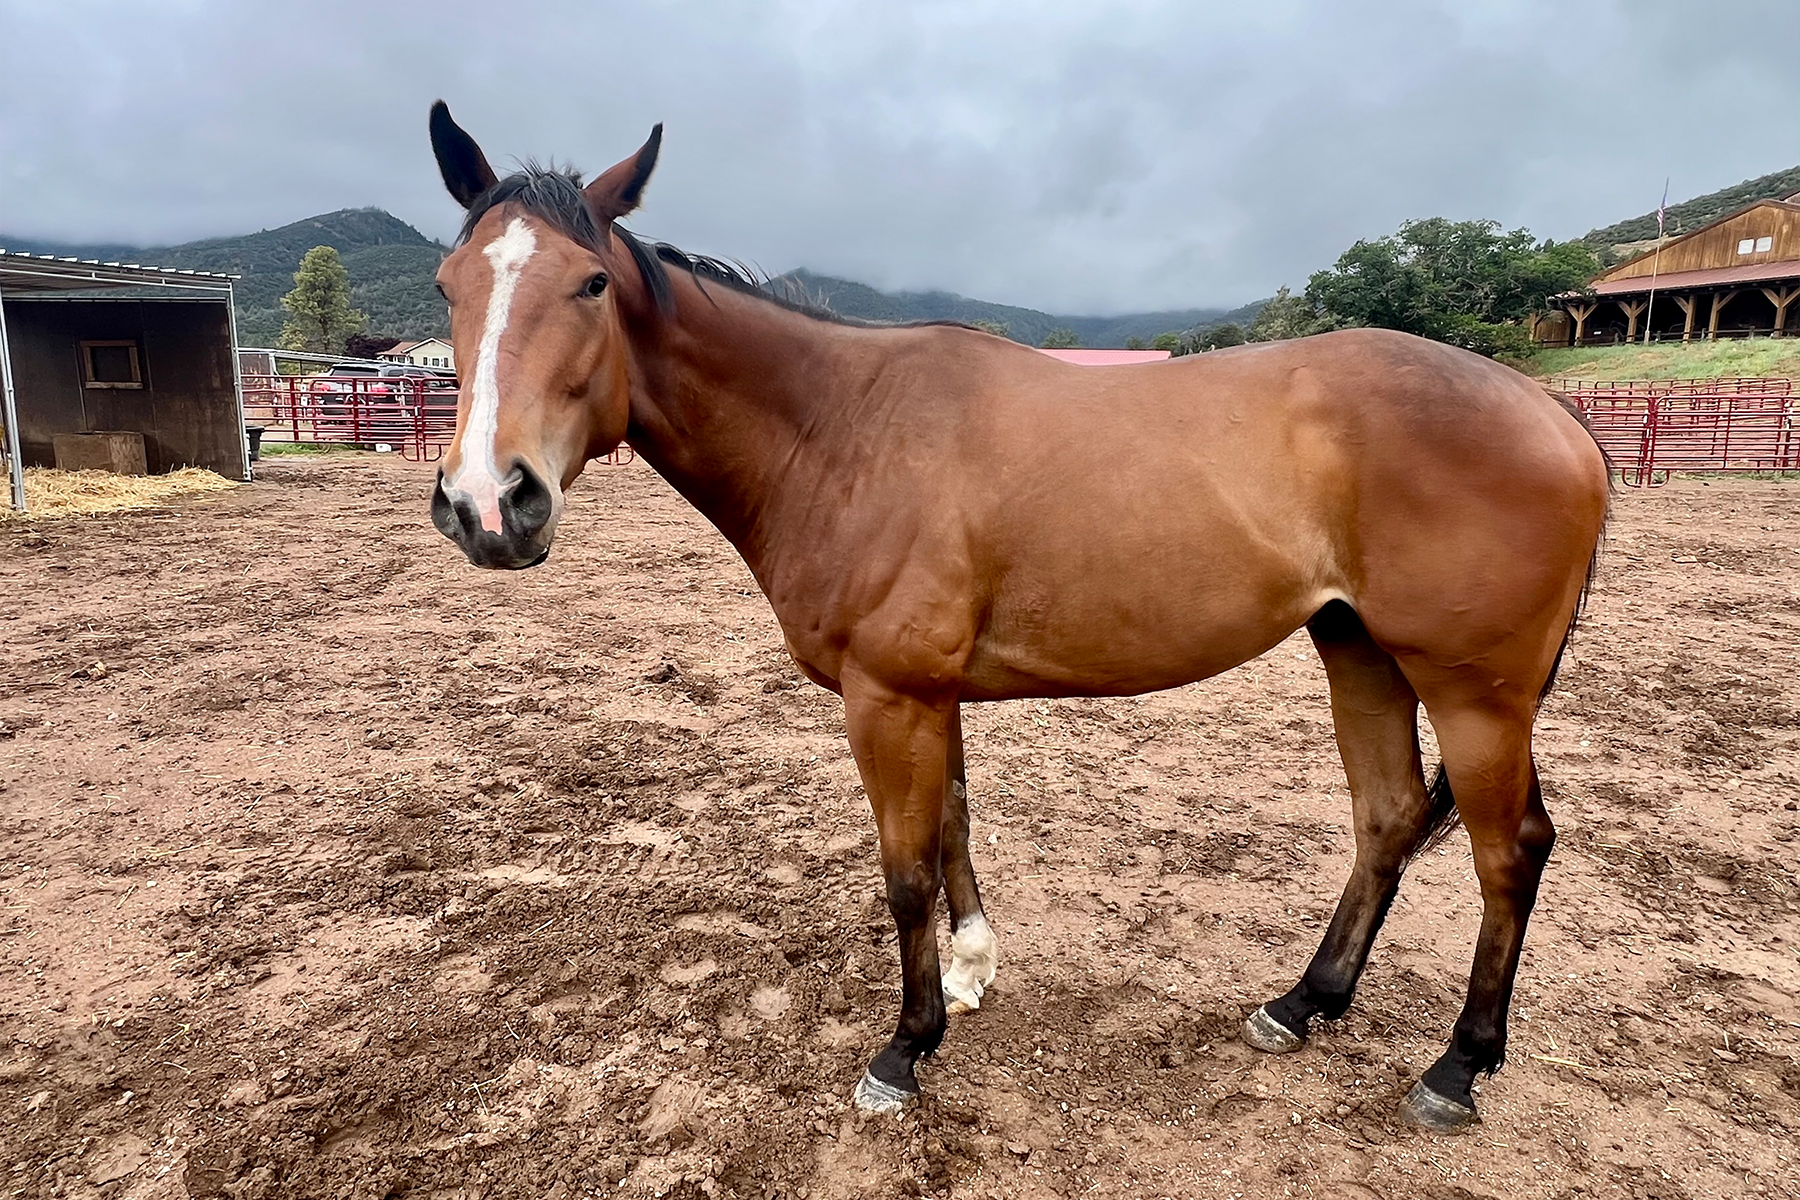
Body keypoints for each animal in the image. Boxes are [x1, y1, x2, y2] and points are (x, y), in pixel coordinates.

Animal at [423, 101, 1609, 1132]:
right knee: (1389, 819)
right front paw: (969, 976)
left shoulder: (888, 697)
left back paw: (1456, 1067)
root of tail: (1554, 415)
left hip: (1475, 694)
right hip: (1360, 650)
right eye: (448, 287)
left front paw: (905, 1047)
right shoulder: (928, 692)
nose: (488, 502)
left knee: (1510, 853)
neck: (841, 433)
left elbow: (905, 868)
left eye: (590, 282)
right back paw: (1303, 1003)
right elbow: (952, 827)